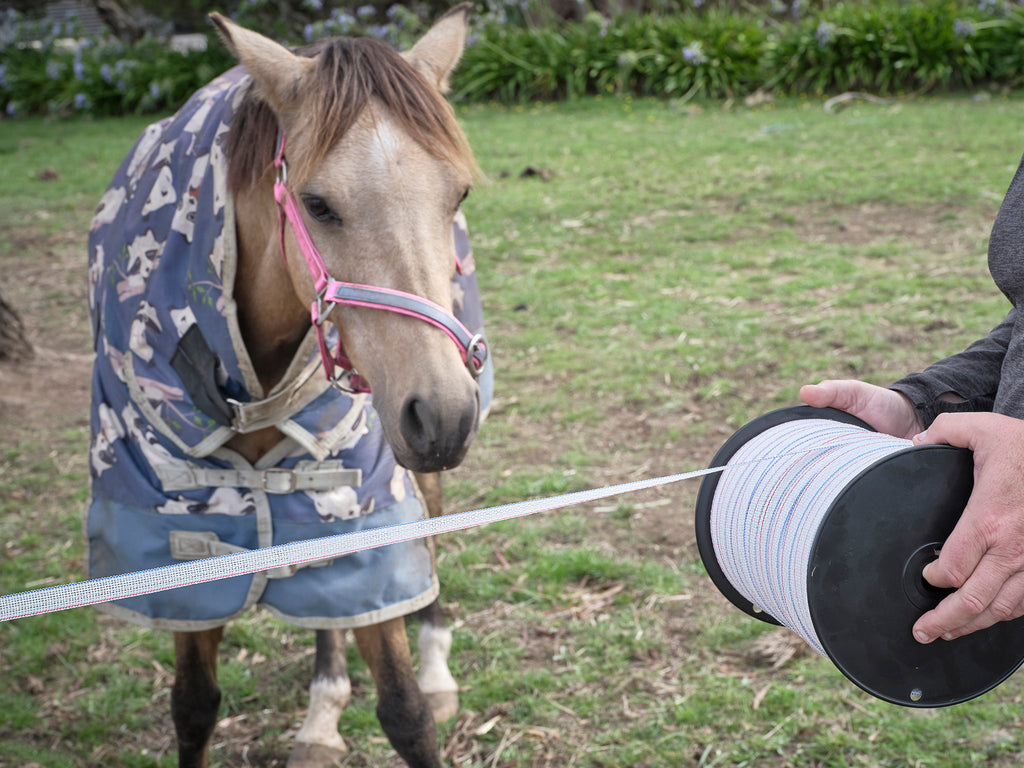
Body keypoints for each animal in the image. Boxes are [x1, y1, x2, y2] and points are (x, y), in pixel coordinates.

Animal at [81, 4, 489, 765]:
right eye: (318, 204)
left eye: (459, 194)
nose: (444, 414)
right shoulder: (175, 546)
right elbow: (193, 705)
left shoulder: (367, 500)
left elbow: (406, 712)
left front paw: (420, 687)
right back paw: (322, 710)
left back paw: (434, 667)